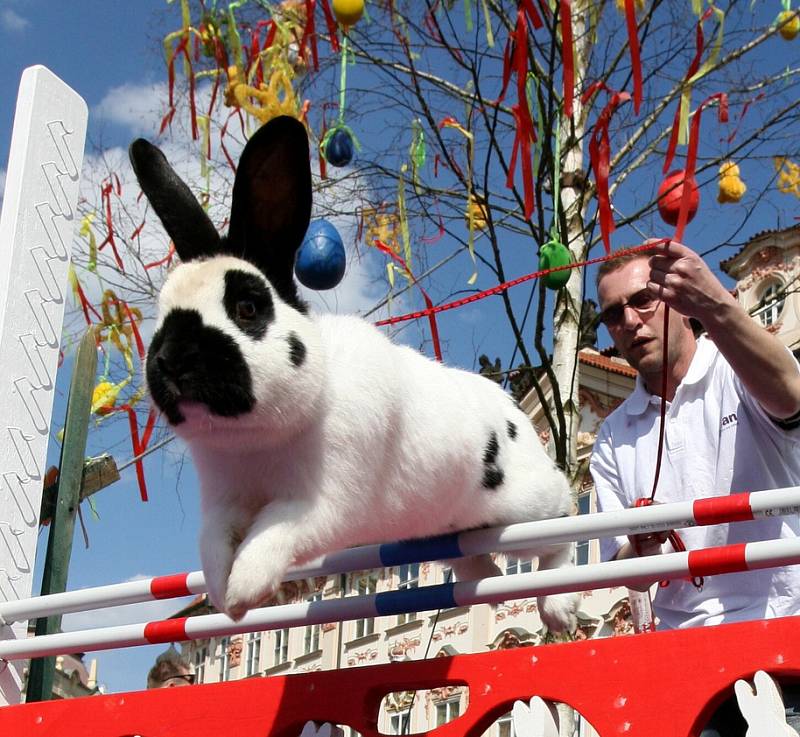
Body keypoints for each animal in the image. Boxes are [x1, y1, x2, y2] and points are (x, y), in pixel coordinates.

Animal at [131, 113, 580, 628]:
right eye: (161, 314)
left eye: (247, 307)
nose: (170, 360)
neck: (257, 437)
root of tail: (515, 416)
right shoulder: (223, 506)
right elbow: (213, 548)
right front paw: (225, 595)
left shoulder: (322, 503)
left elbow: (272, 534)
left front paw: (244, 591)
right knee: (476, 561)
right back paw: (486, 588)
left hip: (527, 506)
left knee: (563, 523)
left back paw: (558, 609)